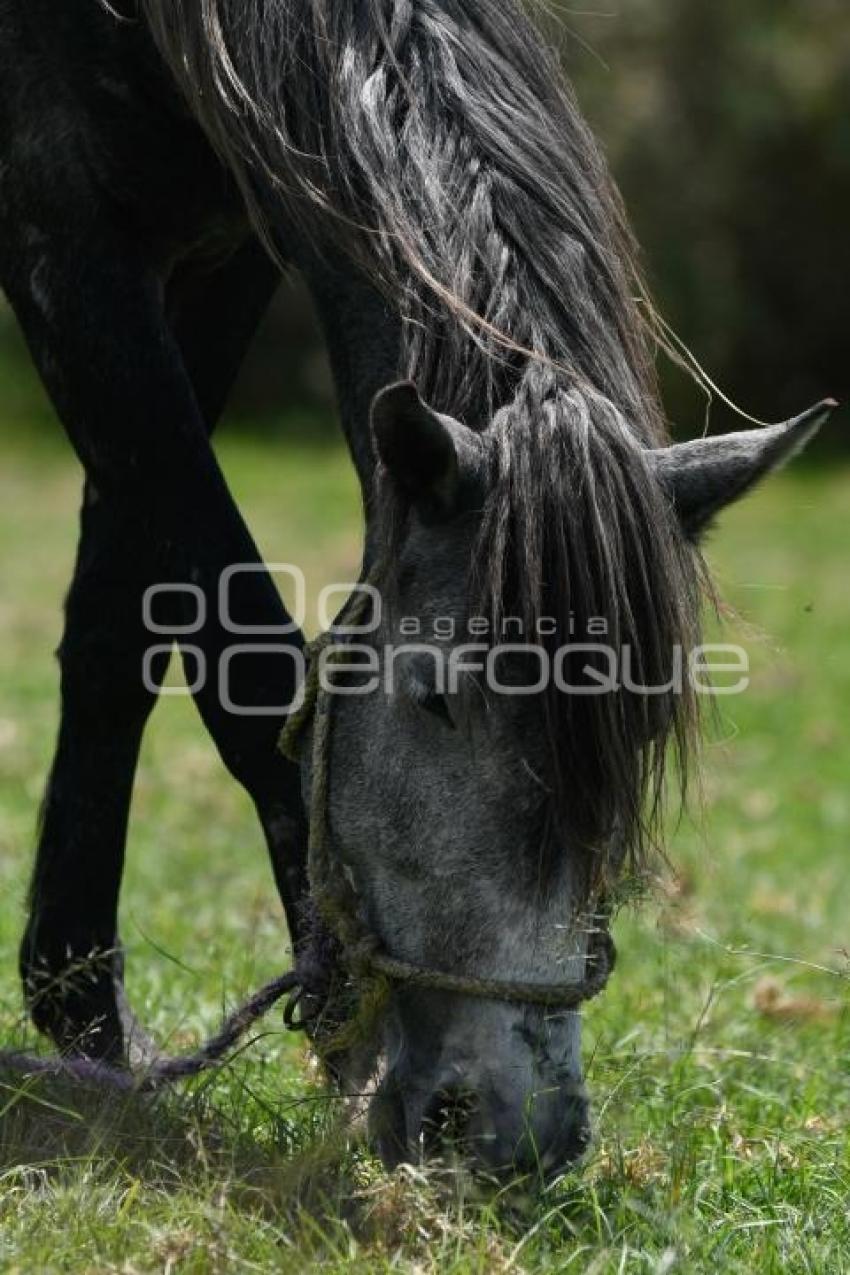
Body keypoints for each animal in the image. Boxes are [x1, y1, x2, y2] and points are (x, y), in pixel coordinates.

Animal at [0, 0, 825, 1173]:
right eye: (436, 698)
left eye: (638, 738)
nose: (515, 1135)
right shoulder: (64, 231)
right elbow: (233, 638)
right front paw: (334, 1027)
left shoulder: (216, 256)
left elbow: (123, 617)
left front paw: (89, 1023)